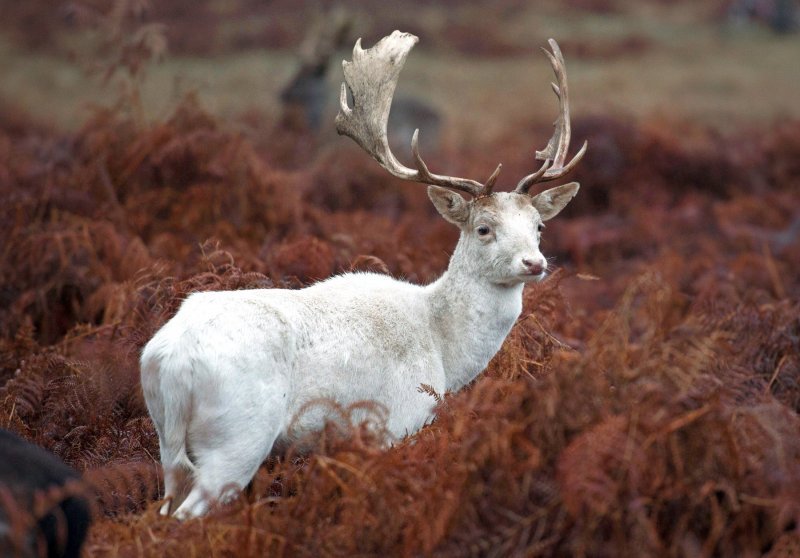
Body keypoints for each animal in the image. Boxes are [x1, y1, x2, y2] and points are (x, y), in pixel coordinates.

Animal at [139, 30, 588, 520]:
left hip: (169, 446)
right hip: (237, 434)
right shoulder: (396, 420)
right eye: (483, 228)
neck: (443, 352)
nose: (534, 263)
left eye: (539, 226)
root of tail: (168, 359)